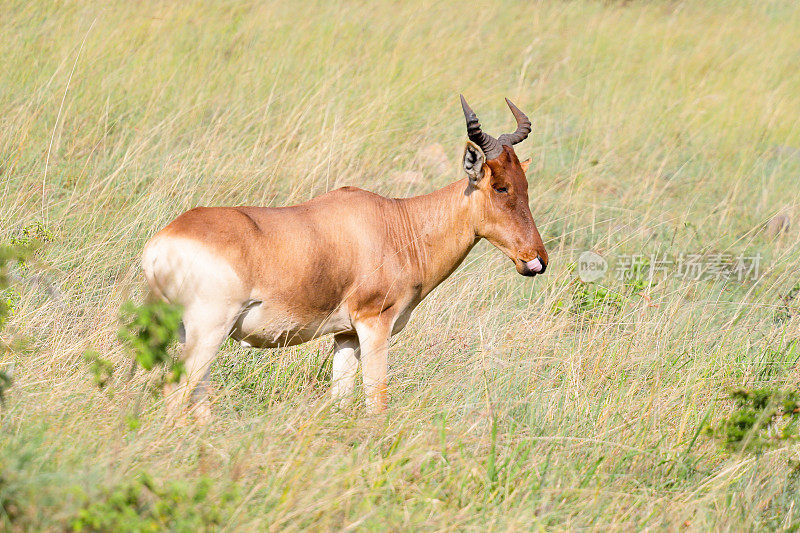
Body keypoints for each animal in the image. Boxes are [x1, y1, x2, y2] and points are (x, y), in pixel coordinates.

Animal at [142, 96, 544, 420]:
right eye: (499, 187)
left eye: (525, 185)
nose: (537, 259)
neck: (395, 222)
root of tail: (159, 245)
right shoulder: (374, 323)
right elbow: (377, 399)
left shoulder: (345, 334)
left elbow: (341, 397)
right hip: (210, 327)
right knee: (177, 390)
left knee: (198, 393)